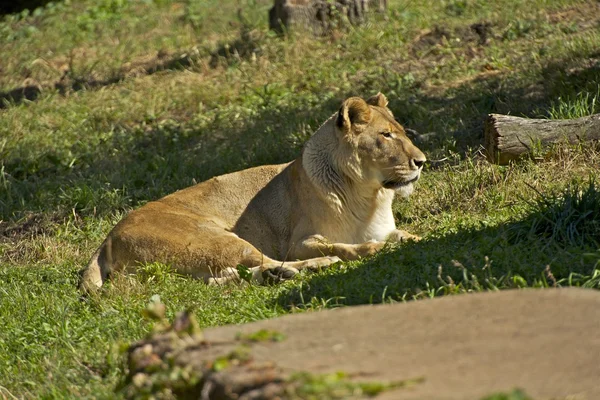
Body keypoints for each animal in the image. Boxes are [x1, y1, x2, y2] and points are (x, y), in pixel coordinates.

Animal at [78, 94, 426, 290]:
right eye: (386, 136)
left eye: (402, 132)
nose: (421, 161)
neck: (368, 195)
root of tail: (108, 237)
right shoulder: (298, 242)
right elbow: (343, 245)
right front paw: (368, 249)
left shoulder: (386, 227)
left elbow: (404, 235)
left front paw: (419, 240)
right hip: (215, 239)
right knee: (265, 261)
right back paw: (314, 266)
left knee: (228, 276)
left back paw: (276, 277)